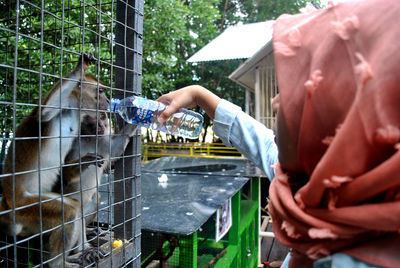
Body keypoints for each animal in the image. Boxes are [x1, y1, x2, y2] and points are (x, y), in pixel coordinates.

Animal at [0, 51, 104, 266]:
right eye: (100, 91)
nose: (109, 100)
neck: (76, 111)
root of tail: (6, 201)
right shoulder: (69, 103)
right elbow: (44, 113)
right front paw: (81, 66)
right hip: (25, 207)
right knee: (68, 211)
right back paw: (59, 263)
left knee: (75, 207)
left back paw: (81, 250)